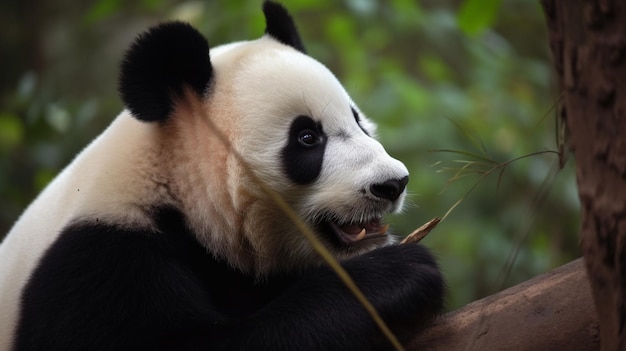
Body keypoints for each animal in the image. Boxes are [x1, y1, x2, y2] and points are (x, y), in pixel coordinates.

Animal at [0, 2, 444, 351]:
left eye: (358, 121)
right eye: (307, 138)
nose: (392, 183)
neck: (170, 183)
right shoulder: (99, 263)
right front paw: (398, 276)